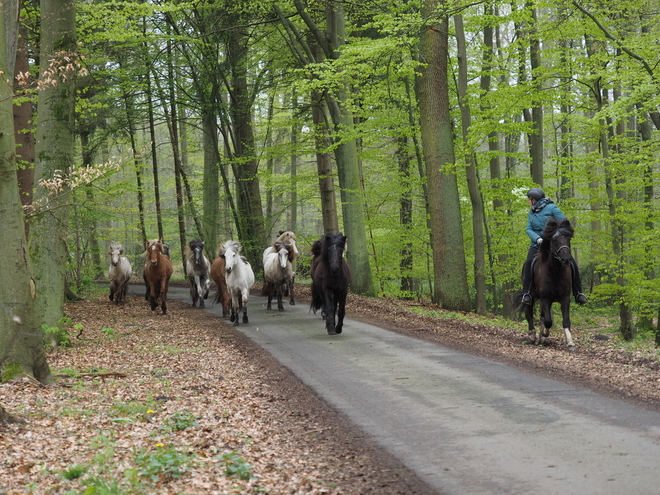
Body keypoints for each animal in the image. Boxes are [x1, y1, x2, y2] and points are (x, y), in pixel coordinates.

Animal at [516, 218, 576, 352]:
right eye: (554, 240)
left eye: (568, 239)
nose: (566, 259)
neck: (556, 272)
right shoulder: (545, 298)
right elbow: (548, 321)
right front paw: (544, 334)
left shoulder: (565, 298)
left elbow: (565, 321)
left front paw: (570, 342)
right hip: (531, 297)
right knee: (529, 314)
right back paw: (532, 335)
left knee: (541, 316)